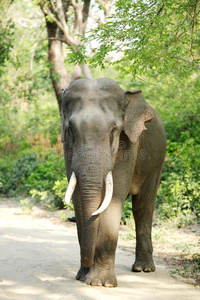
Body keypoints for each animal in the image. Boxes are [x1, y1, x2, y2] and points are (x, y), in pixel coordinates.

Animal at [61, 78, 167, 288]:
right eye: (71, 130)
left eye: (113, 130)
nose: (85, 268)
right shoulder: (67, 149)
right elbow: (77, 197)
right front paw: (83, 277)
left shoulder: (129, 144)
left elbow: (115, 195)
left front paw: (101, 283)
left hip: (158, 158)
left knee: (143, 207)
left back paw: (143, 269)